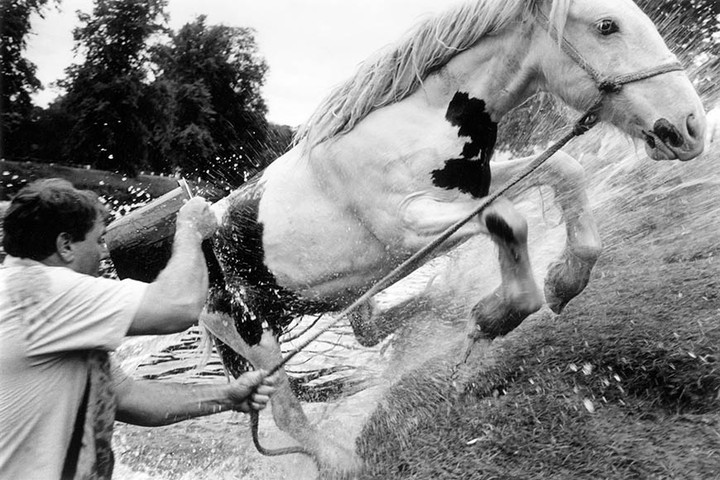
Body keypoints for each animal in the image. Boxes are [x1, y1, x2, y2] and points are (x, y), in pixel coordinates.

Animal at [199, 0, 707, 474]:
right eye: (606, 25)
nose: (691, 127)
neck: (417, 122)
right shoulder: (408, 226)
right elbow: (511, 222)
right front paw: (495, 317)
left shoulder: (473, 192)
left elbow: (566, 169)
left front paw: (565, 280)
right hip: (251, 332)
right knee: (289, 414)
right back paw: (345, 462)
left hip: (346, 290)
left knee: (368, 332)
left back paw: (441, 299)